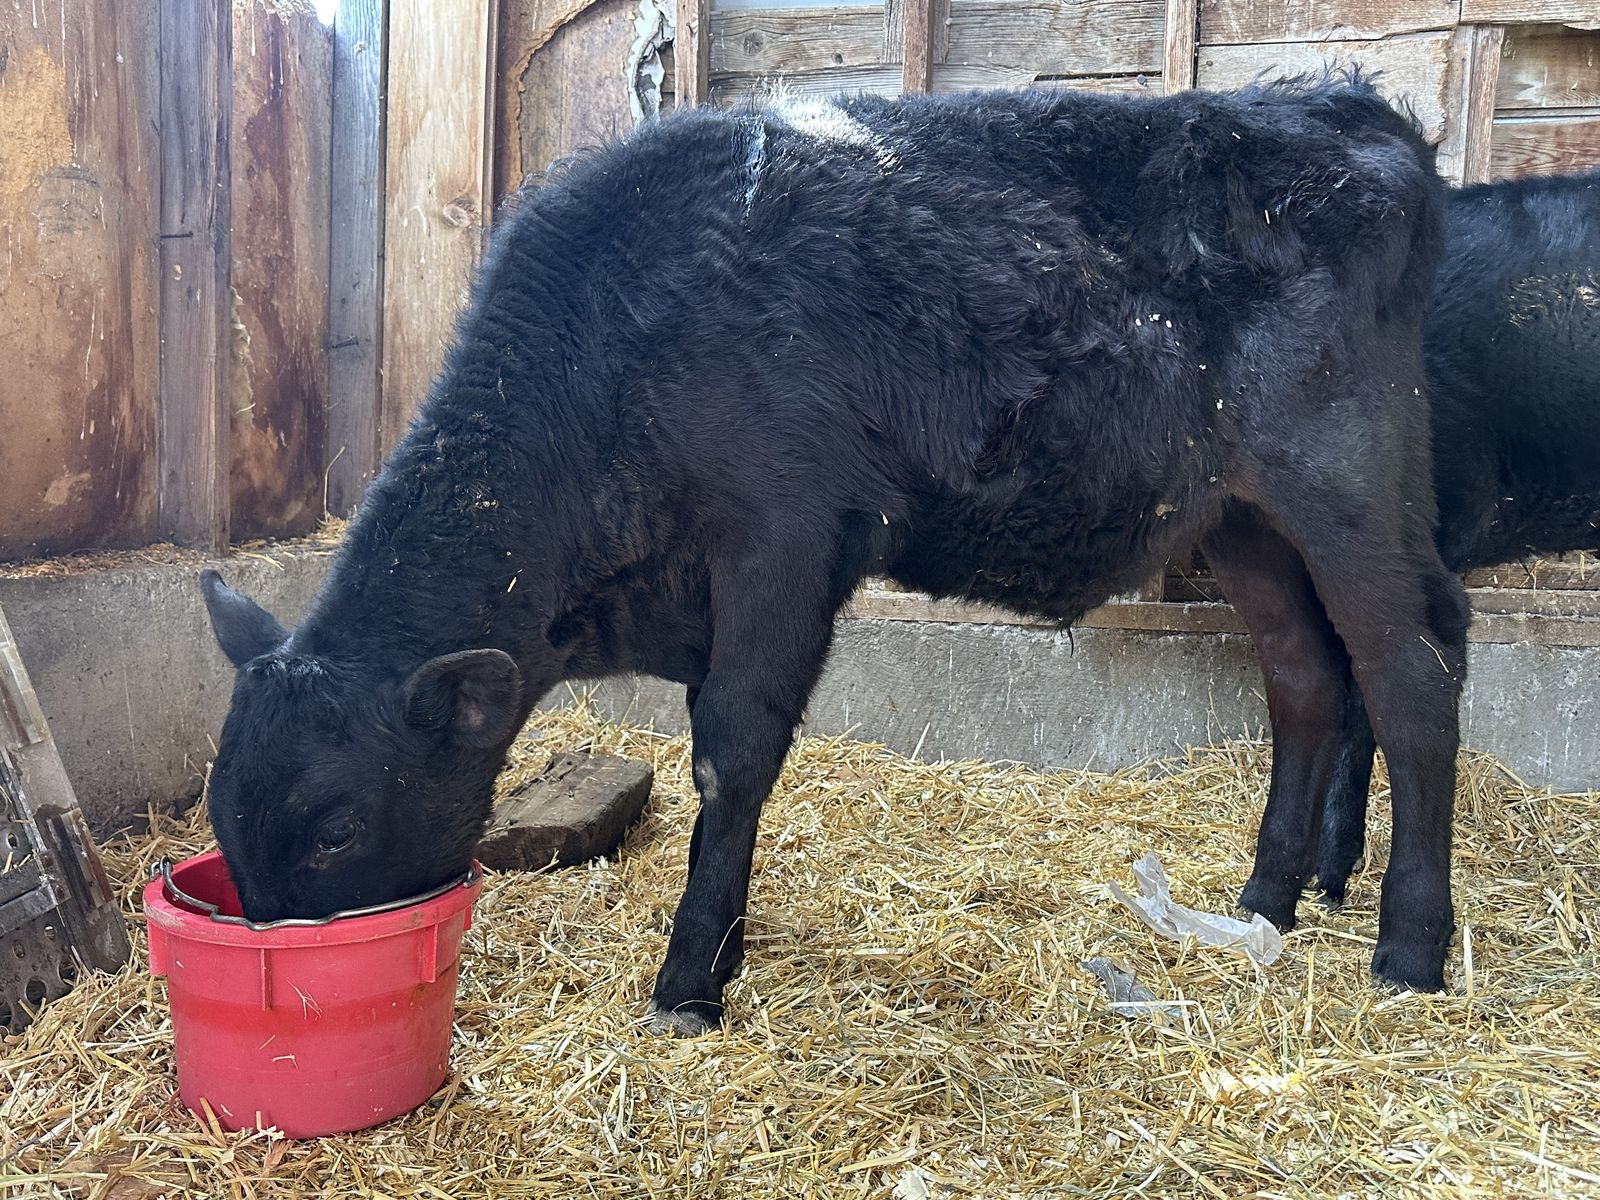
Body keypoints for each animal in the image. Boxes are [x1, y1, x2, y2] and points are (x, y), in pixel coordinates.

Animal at [200, 78, 1466, 1035]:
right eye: (220, 811)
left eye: (336, 824)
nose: (276, 973)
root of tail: (1342, 103)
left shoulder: (783, 538)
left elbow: (734, 752)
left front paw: (688, 984)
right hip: (1237, 516)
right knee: (1305, 680)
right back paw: (1267, 899)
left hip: (1345, 482)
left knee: (1411, 679)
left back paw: (1409, 949)